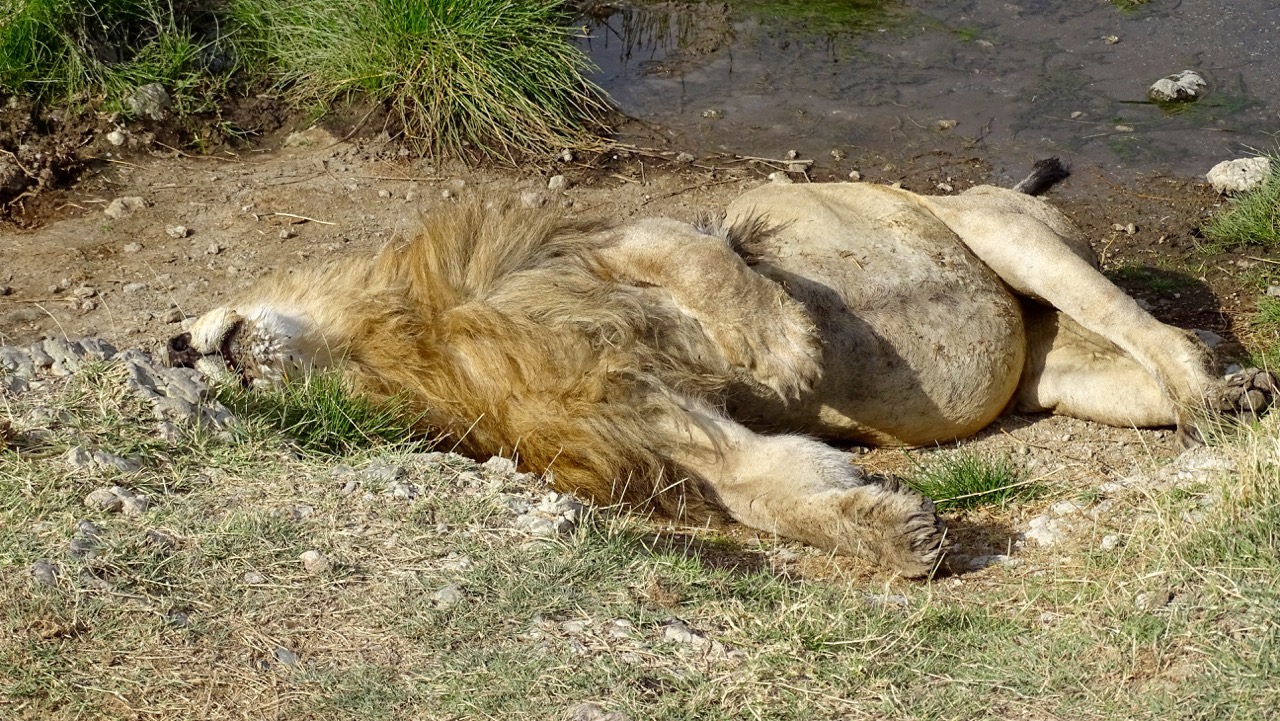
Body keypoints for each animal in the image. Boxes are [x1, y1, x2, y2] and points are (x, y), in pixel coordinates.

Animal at [167, 166, 1269, 578]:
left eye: (167, 350)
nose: (179, 351)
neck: (404, 339)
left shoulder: (610, 246)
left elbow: (696, 257)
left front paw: (787, 347)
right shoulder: (649, 414)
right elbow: (766, 483)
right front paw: (891, 533)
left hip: (1000, 227)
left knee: (1153, 328)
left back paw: (1224, 394)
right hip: (1066, 379)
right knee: (1143, 365)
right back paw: (1228, 389)